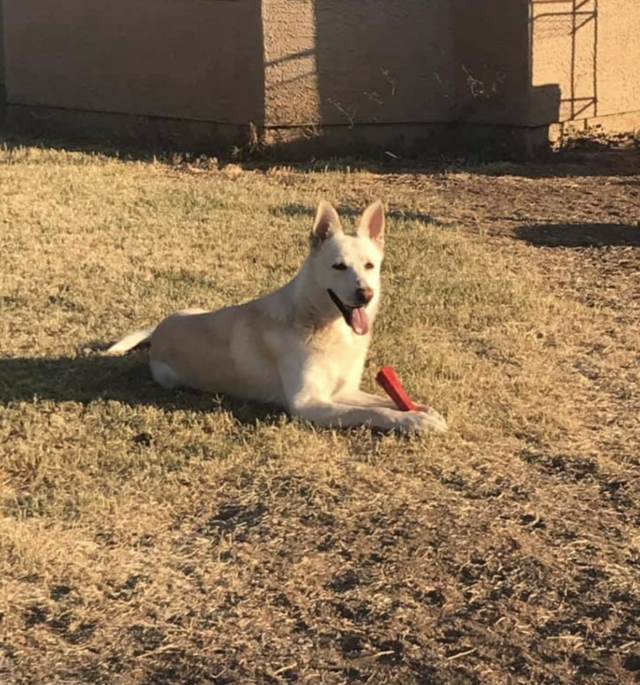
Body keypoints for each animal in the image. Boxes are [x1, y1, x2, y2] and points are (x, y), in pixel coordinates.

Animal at [107, 199, 448, 432]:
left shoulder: (345, 391)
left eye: (369, 266)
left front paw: (422, 410)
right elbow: (373, 412)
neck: (321, 324)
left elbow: (384, 400)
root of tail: (160, 328)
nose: (365, 294)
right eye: (339, 266)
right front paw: (414, 421)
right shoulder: (309, 405)